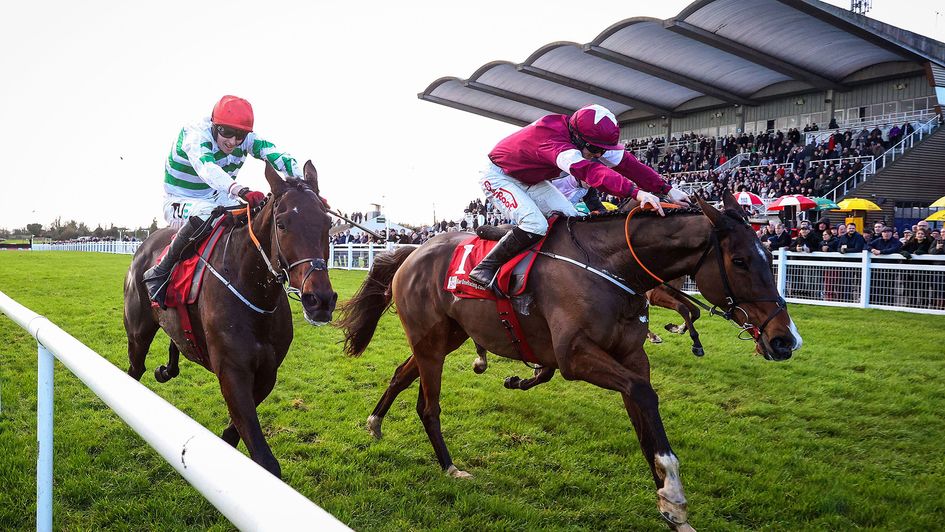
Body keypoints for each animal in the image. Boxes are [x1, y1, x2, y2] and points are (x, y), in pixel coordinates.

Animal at [121, 162, 336, 478]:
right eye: (281, 223)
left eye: (328, 223)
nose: (319, 299)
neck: (252, 292)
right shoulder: (232, 371)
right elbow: (265, 460)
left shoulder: (267, 373)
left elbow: (234, 434)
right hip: (137, 332)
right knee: (134, 370)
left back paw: (167, 369)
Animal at [336, 193, 800, 528]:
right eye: (740, 260)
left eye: (766, 255)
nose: (784, 340)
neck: (613, 267)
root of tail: (412, 251)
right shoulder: (576, 356)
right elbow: (642, 394)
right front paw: (672, 494)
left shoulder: (631, 358)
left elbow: (646, 416)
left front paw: (670, 503)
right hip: (431, 341)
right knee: (428, 405)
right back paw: (450, 467)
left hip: (445, 337)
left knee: (401, 374)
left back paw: (375, 423)